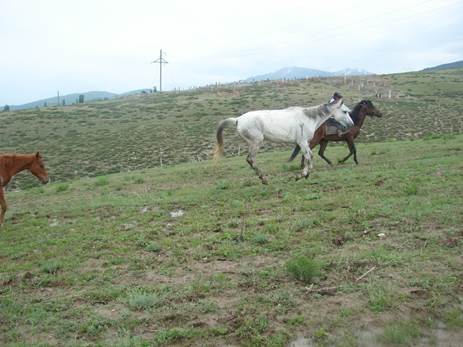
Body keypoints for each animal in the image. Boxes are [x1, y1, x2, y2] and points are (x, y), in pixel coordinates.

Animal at [216, 97, 354, 185]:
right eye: (345, 111)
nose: (351, 124)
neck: (309, 118)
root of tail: (238, 119)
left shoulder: (305, 143)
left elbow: (310, 156)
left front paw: (306, 174)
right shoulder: (302, 142)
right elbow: (308, 157)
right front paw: (300, 176)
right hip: (256, 142)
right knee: (251, 159)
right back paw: (264, 179)